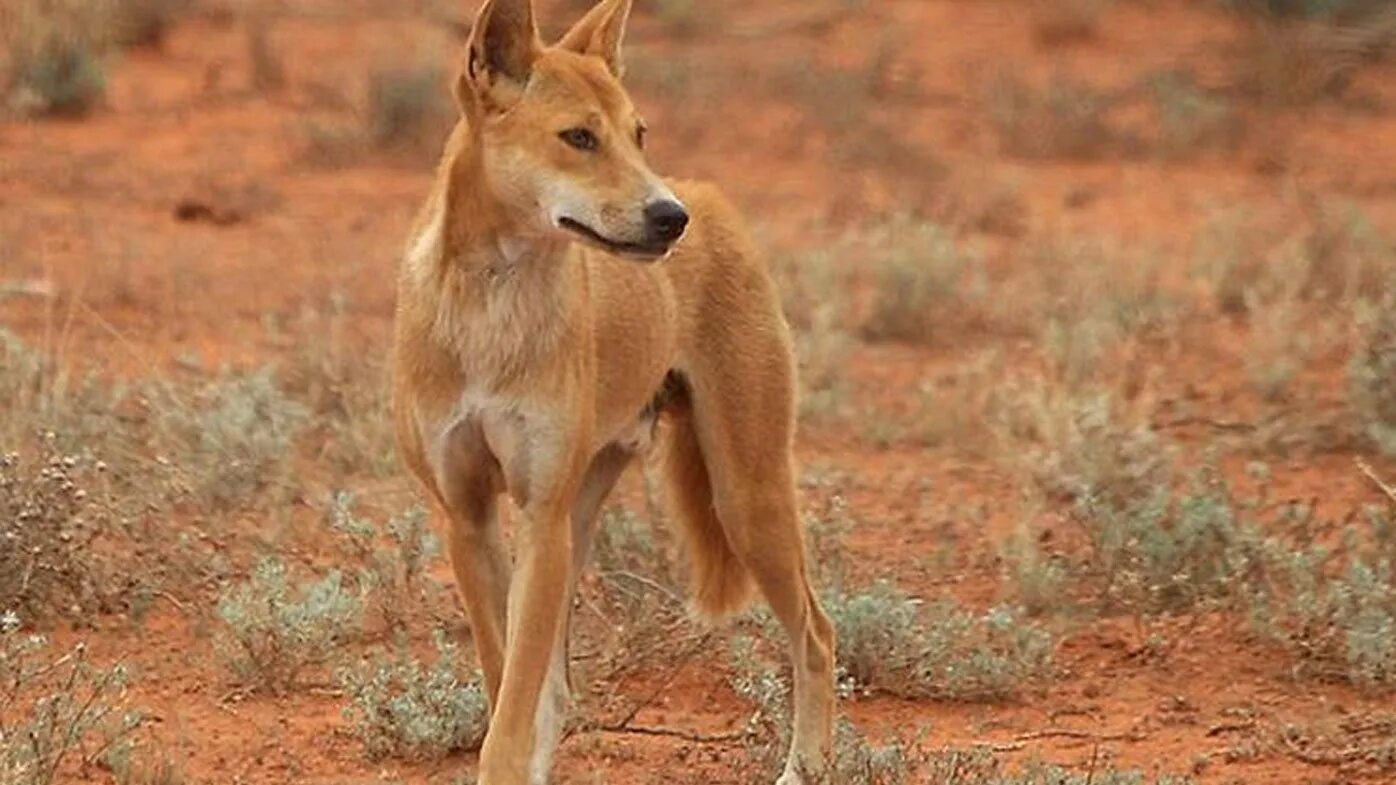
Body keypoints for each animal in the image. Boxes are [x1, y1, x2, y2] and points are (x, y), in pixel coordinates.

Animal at [388, 1, 832, 782]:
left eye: (638, 134)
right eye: (579, 138)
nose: (670, 217)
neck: (492, 306)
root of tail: (712, 196)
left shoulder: (537, 517)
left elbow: (511, 716)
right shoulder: (469, 516)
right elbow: (509, 688)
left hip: (745, 498)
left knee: (818, 635)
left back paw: (802, 767)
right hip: (584, 516)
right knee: (559, 690)